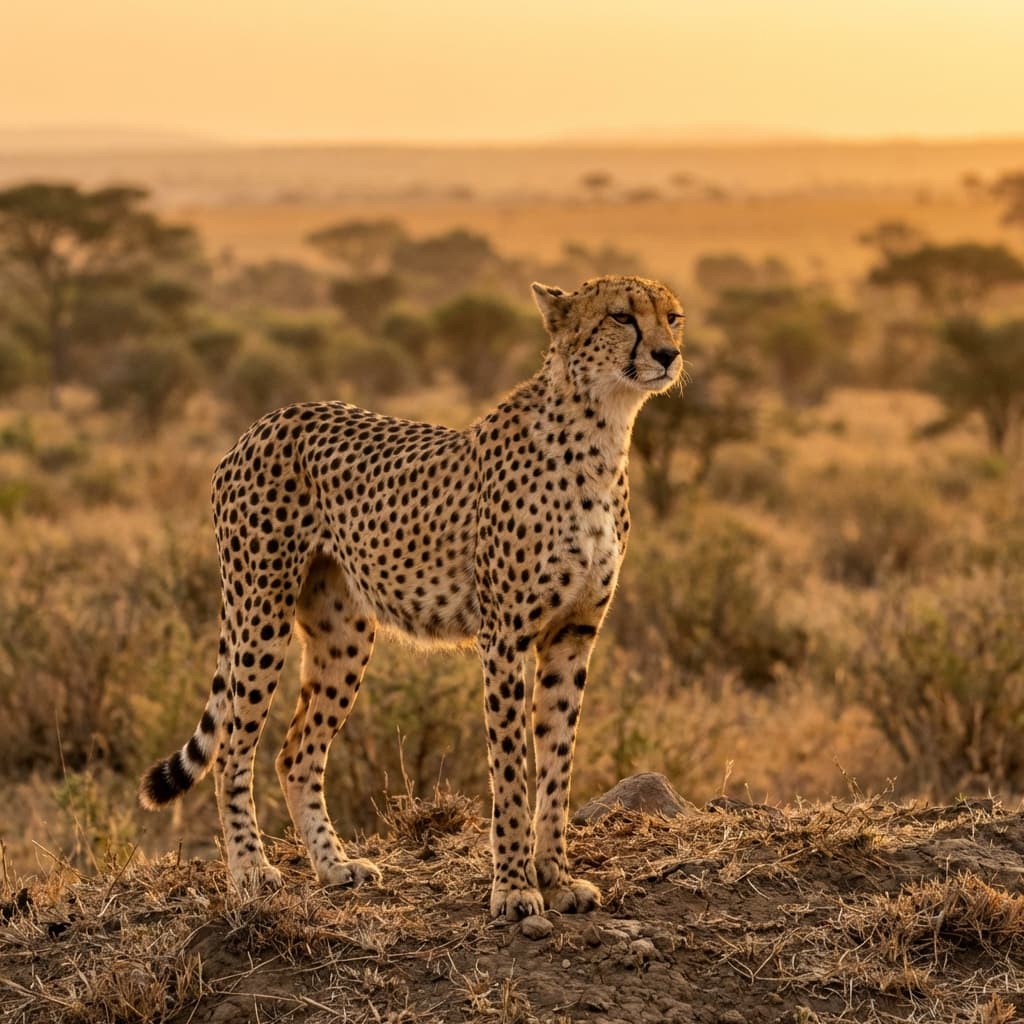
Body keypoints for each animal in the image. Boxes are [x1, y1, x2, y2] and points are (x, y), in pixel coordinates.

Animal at [140, 274, 685, 920]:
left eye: (673, 317)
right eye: (622, 317)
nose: (668, 355)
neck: (601, 432)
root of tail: (264, 421)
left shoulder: (573, 634)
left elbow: (557, 761)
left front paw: (555, 876)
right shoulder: (505, 637)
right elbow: (512, 768)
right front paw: (513, 887)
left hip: (344, 633)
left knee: (296, 753)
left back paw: (334, 866)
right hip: (260, 609)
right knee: (232, 748)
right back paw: (250, 870)